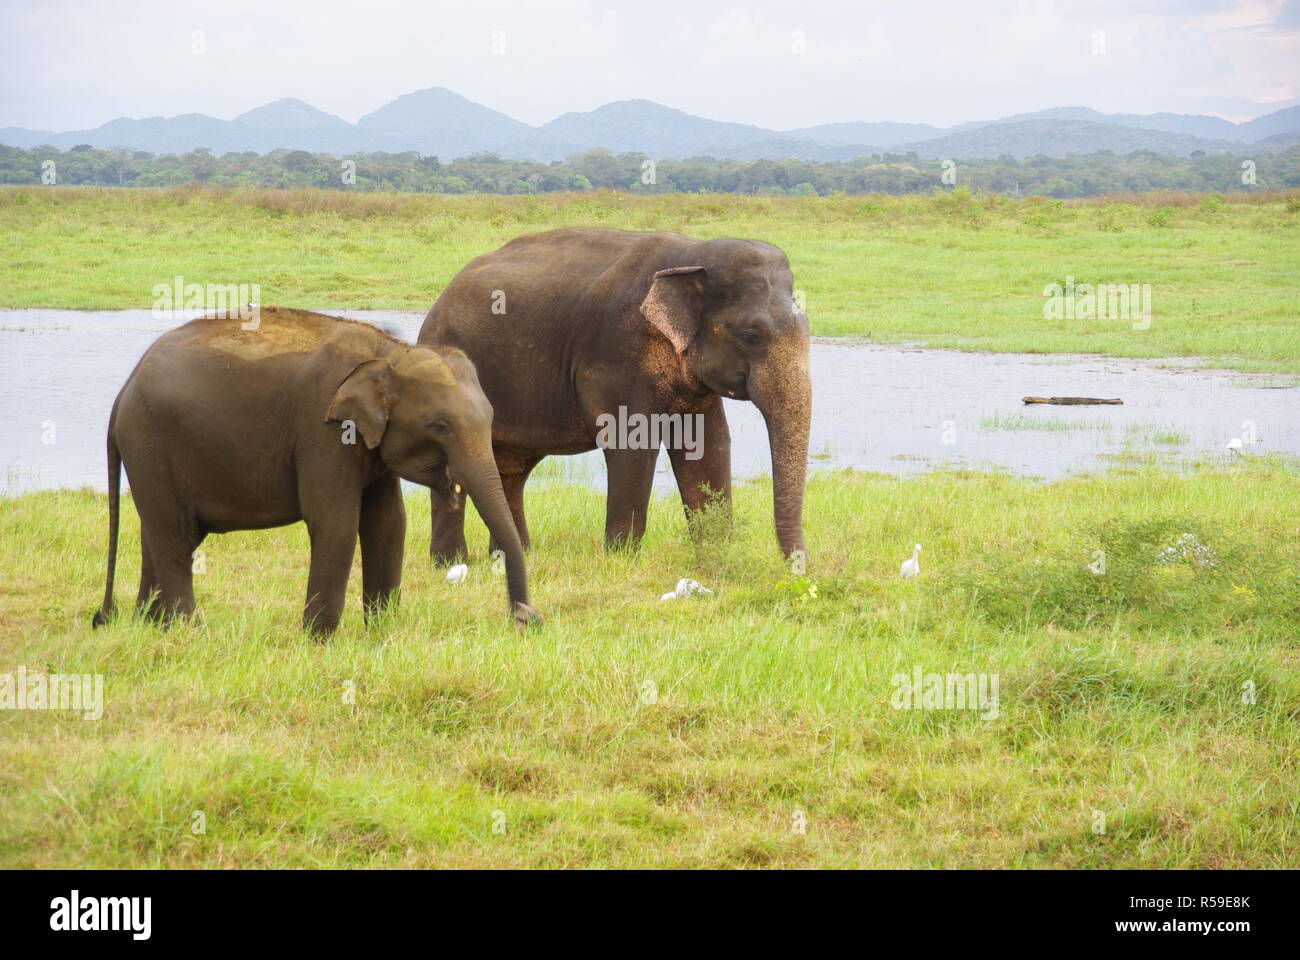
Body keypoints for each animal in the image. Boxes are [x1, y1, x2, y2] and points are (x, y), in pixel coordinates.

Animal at [91, 306, 538, 632]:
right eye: (441, 426)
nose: (527, 620)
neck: (389, 351)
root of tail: (122, 392)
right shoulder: (323, 432)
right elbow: (335, 521)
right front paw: (318, 639)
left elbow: (388, 523)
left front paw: (381, 630)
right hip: (149, 443)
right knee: (172, 533)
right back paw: (188, 631)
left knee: (159, 531)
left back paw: (149, 625)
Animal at [416, 227, 806, 561]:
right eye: (752, 336)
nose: (798, 567)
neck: (692, 254)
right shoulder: (617, 353)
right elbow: (631, 444)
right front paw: (621, 559)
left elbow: (706, 444)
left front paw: (716, 556)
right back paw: (451, 563)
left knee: (511, 469)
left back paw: (515, 557)